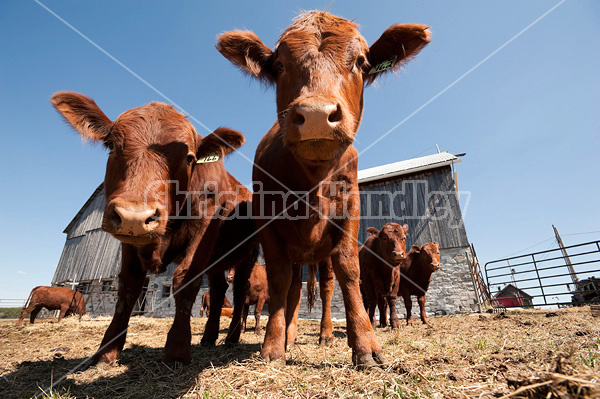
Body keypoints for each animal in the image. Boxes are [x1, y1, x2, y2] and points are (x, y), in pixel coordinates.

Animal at [51, 91, 258, 366]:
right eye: (112, 146)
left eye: (189, 158)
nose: (135, 216)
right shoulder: (130, 238)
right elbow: (129, 285)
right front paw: (108, 350)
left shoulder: (202, 234)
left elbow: (185, 279)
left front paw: (178, 349)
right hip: (217, 259)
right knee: (217, 290)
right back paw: (209, 337)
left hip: (248, 255)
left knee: (240, 290)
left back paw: (232, 338)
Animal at [218, 10, 428, 368]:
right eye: (279, 65)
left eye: (360, 61)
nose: (316, 114)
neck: (312, 184)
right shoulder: (268, 223)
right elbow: (279, 279)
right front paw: (273, 345)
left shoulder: (350, 210)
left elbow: (349, 271)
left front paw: (366, 344)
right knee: (293, 287)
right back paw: (288, 335)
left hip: (322, 254)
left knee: (328, 285)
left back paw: (326, 333)